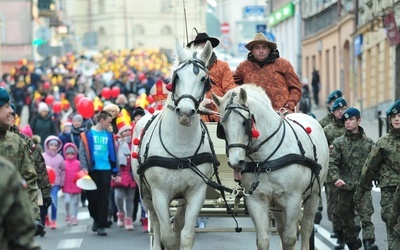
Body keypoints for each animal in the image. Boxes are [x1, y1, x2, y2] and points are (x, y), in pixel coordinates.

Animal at [133, 40, 217, 249]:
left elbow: (185, 235)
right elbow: (167, 236)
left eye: (204, 79)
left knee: (178, 223)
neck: (180, 147)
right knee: (155, 222)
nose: (185, 112)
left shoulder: (196, 192)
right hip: (146, 194)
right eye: (176, 77)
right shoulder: (159, 193)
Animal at [212, 84, 328, 250]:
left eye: (244, 123)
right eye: (222, 127)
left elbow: (289, 239)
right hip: (277, 204)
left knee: (306, 227)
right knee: (280, 228)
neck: (264, 160)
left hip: (313, 195)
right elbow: (263, 240)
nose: (235, 163)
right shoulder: (256, 200)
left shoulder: (293, 199)